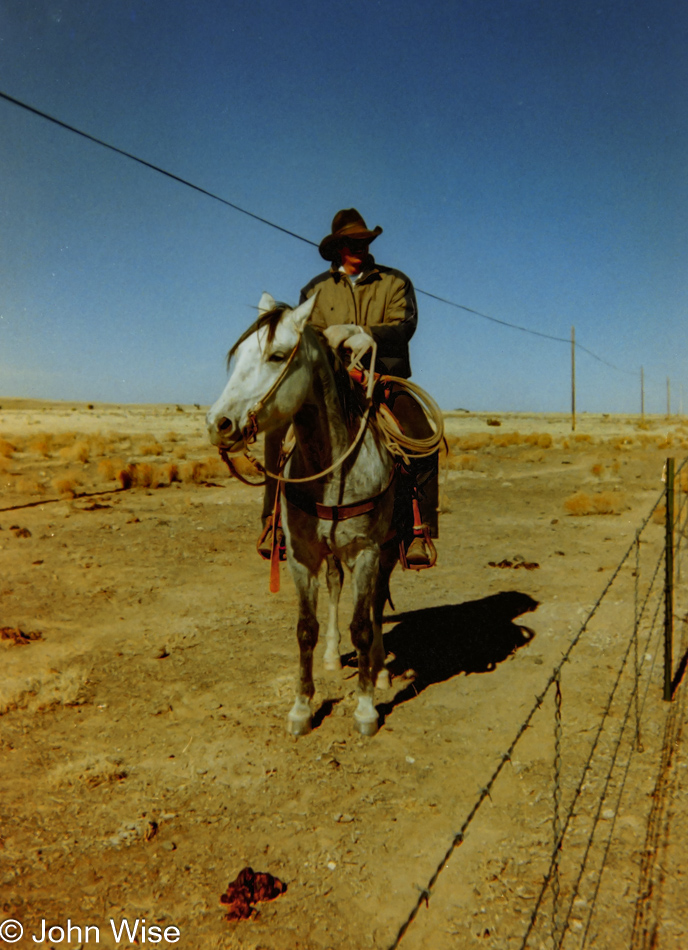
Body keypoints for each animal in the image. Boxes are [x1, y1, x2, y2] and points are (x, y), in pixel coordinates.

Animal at [206, 294, 398, 740]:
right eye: (239, 354)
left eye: (277, 356)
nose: (218, 423)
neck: (332, 470)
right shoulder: (301, 556)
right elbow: (305, 629)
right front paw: (302, 706)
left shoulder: (366, 551)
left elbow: (363, 626)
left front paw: (365, 707)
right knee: (335, 586)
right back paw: (332, 655)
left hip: (387, 549)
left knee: (377, 602)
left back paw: (380, 670)